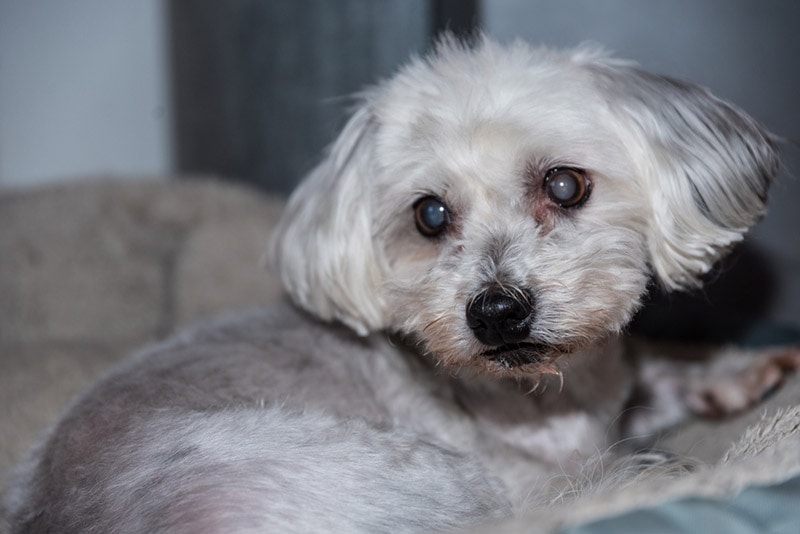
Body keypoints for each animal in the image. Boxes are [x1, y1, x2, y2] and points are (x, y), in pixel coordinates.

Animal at [6, 36, 800, 534]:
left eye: (565, 184)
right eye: (429, 214)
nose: (497, 313)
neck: (552, 394)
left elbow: (653, 369)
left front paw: (733, 371)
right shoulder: (547, 467)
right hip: (426, 475)